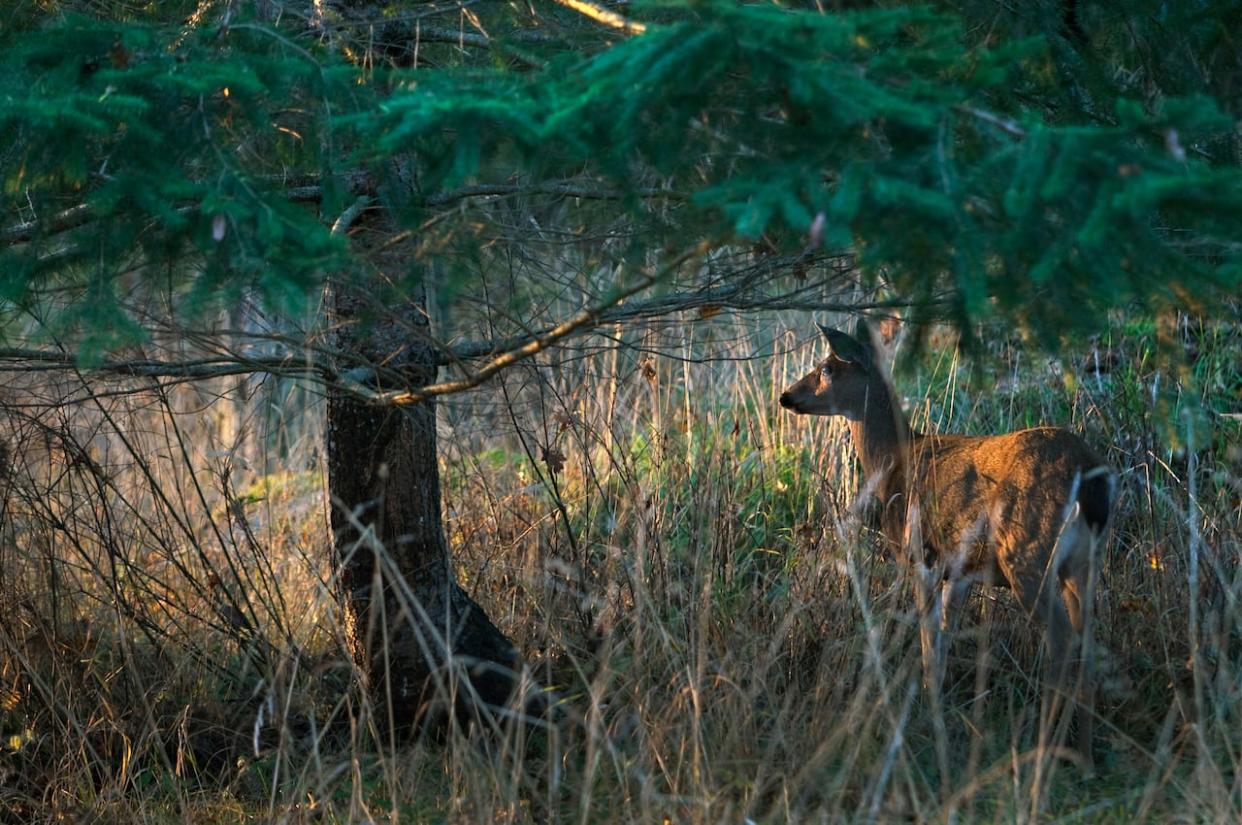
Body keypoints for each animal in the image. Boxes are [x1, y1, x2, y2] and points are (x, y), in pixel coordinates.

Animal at [775, 323, 1117, 765]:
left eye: (827, 368)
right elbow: (943, 639)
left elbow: (928, 643)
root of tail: (1089, 478)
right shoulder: (961, 570)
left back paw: (1044, 747)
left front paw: (928, 712)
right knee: (1088, 642)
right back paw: (1085, 756)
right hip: (1084, 560)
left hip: (1027, 551)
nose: (787, 396)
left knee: (1061, 638)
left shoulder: (922, 554)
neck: (896, 460)